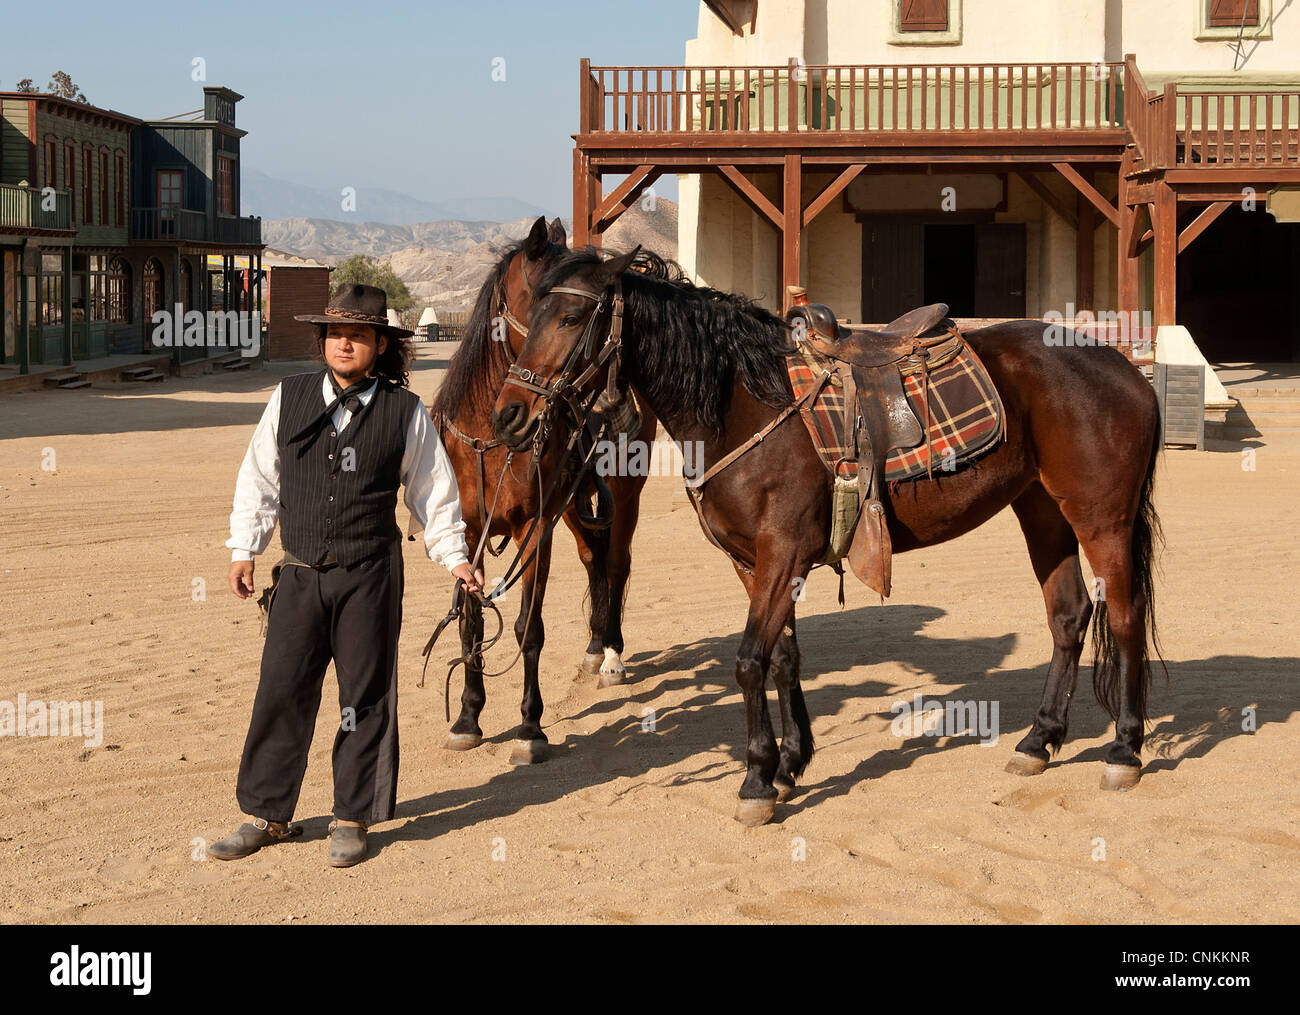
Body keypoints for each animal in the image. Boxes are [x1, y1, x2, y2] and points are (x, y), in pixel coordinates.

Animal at [428, 218, 655, 764]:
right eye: (538, 303)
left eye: (571, 315)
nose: (513, 416)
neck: (488, 441)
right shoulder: (467, 533)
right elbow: (471, 623)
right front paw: (467, 718)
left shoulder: (535, 530)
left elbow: (528, 629)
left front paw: (530, 728)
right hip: (573, 506)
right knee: (594, 559)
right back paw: (594, 648)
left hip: (624, 495)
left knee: (617, 563)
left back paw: (611, 655)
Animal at [493, 245, 1170, 821]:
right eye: (529, 316)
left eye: (571, 315)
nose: (508, 415)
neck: (743, 403)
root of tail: (1126, 368)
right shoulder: (755, 562)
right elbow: (783, 658)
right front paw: (790, 762)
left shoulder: (781, 554)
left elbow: (748, 661)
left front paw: (756, 780)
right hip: (1043, 511)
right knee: (1070, 616)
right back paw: (1039, 740)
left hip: (1101, 517)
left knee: (1124, 616)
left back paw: (1124, 750)